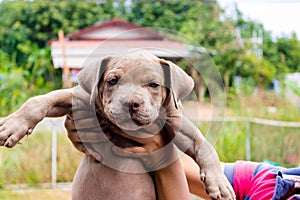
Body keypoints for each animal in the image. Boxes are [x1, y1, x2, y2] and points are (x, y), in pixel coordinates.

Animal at [0, 50, 234, 199]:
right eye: (112, 81)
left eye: (154, 85)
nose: (131, 103)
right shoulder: (78, 96)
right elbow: (39, 100)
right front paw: (13, 125)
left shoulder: (176, 121)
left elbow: (203, 146)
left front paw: (218, 182)